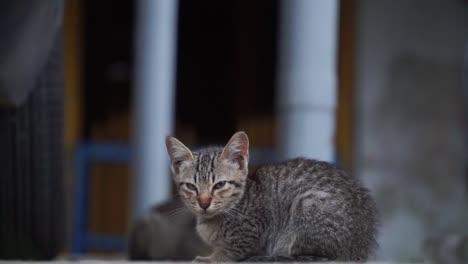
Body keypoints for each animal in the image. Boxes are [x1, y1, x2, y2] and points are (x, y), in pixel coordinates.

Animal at [166, 132, 378, 262]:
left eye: (219, 185)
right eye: (191, 186)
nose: (204, 203)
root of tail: (362, 245)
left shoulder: (253, 231)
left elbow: (231, 250)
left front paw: (212, 258)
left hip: (308, 203)